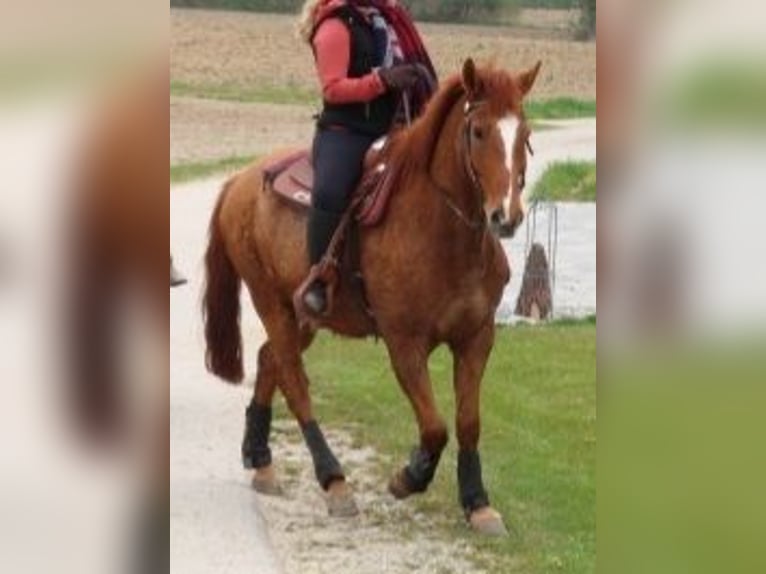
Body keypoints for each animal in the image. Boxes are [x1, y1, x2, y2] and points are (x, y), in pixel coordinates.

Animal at [202, 58, 540, 536]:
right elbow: (435, 427)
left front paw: (477, 503)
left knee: (270, 360)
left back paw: (261, 460)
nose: (505, 217)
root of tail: (240, 180)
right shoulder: (405, 344)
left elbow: (468, 421)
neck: (442, 231)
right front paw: (408, 476)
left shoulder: (477, 337)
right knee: (294, 382)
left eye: (524, 133)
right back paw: (334, 481)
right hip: (271, 303)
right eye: (477, 131)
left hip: (302, 315)